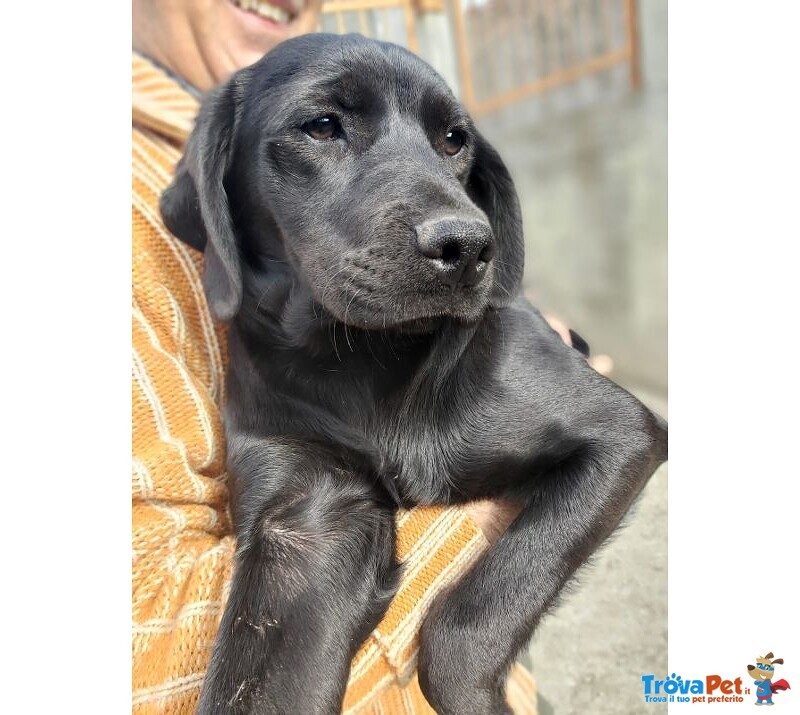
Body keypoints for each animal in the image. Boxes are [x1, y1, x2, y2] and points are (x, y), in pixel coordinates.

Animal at [159, 32, 664, 715]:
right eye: (322, 126)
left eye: (454, 140)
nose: (469, 247)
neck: (360, 364)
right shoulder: (302, 530)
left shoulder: (620, 433)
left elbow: (468, 620)